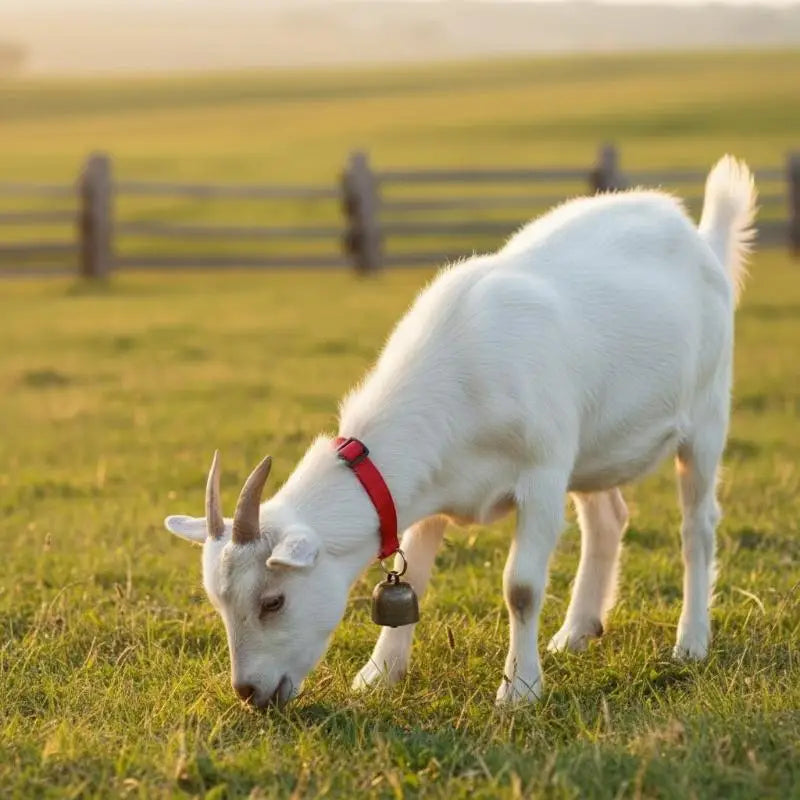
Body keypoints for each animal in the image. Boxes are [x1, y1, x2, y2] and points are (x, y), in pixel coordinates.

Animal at [164, 155, 756, 707]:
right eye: (219, 603)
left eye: (273, 600)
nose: (249, 691)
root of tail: (698, 235)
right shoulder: (432, 491)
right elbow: (417, 580)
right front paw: (379, 676)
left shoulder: (542, 473)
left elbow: (521, 587)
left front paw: (519, 690)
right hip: (592, 446)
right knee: (608, 518)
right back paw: (575, 633)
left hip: (707, 414)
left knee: (697, 525)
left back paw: (690, 642)